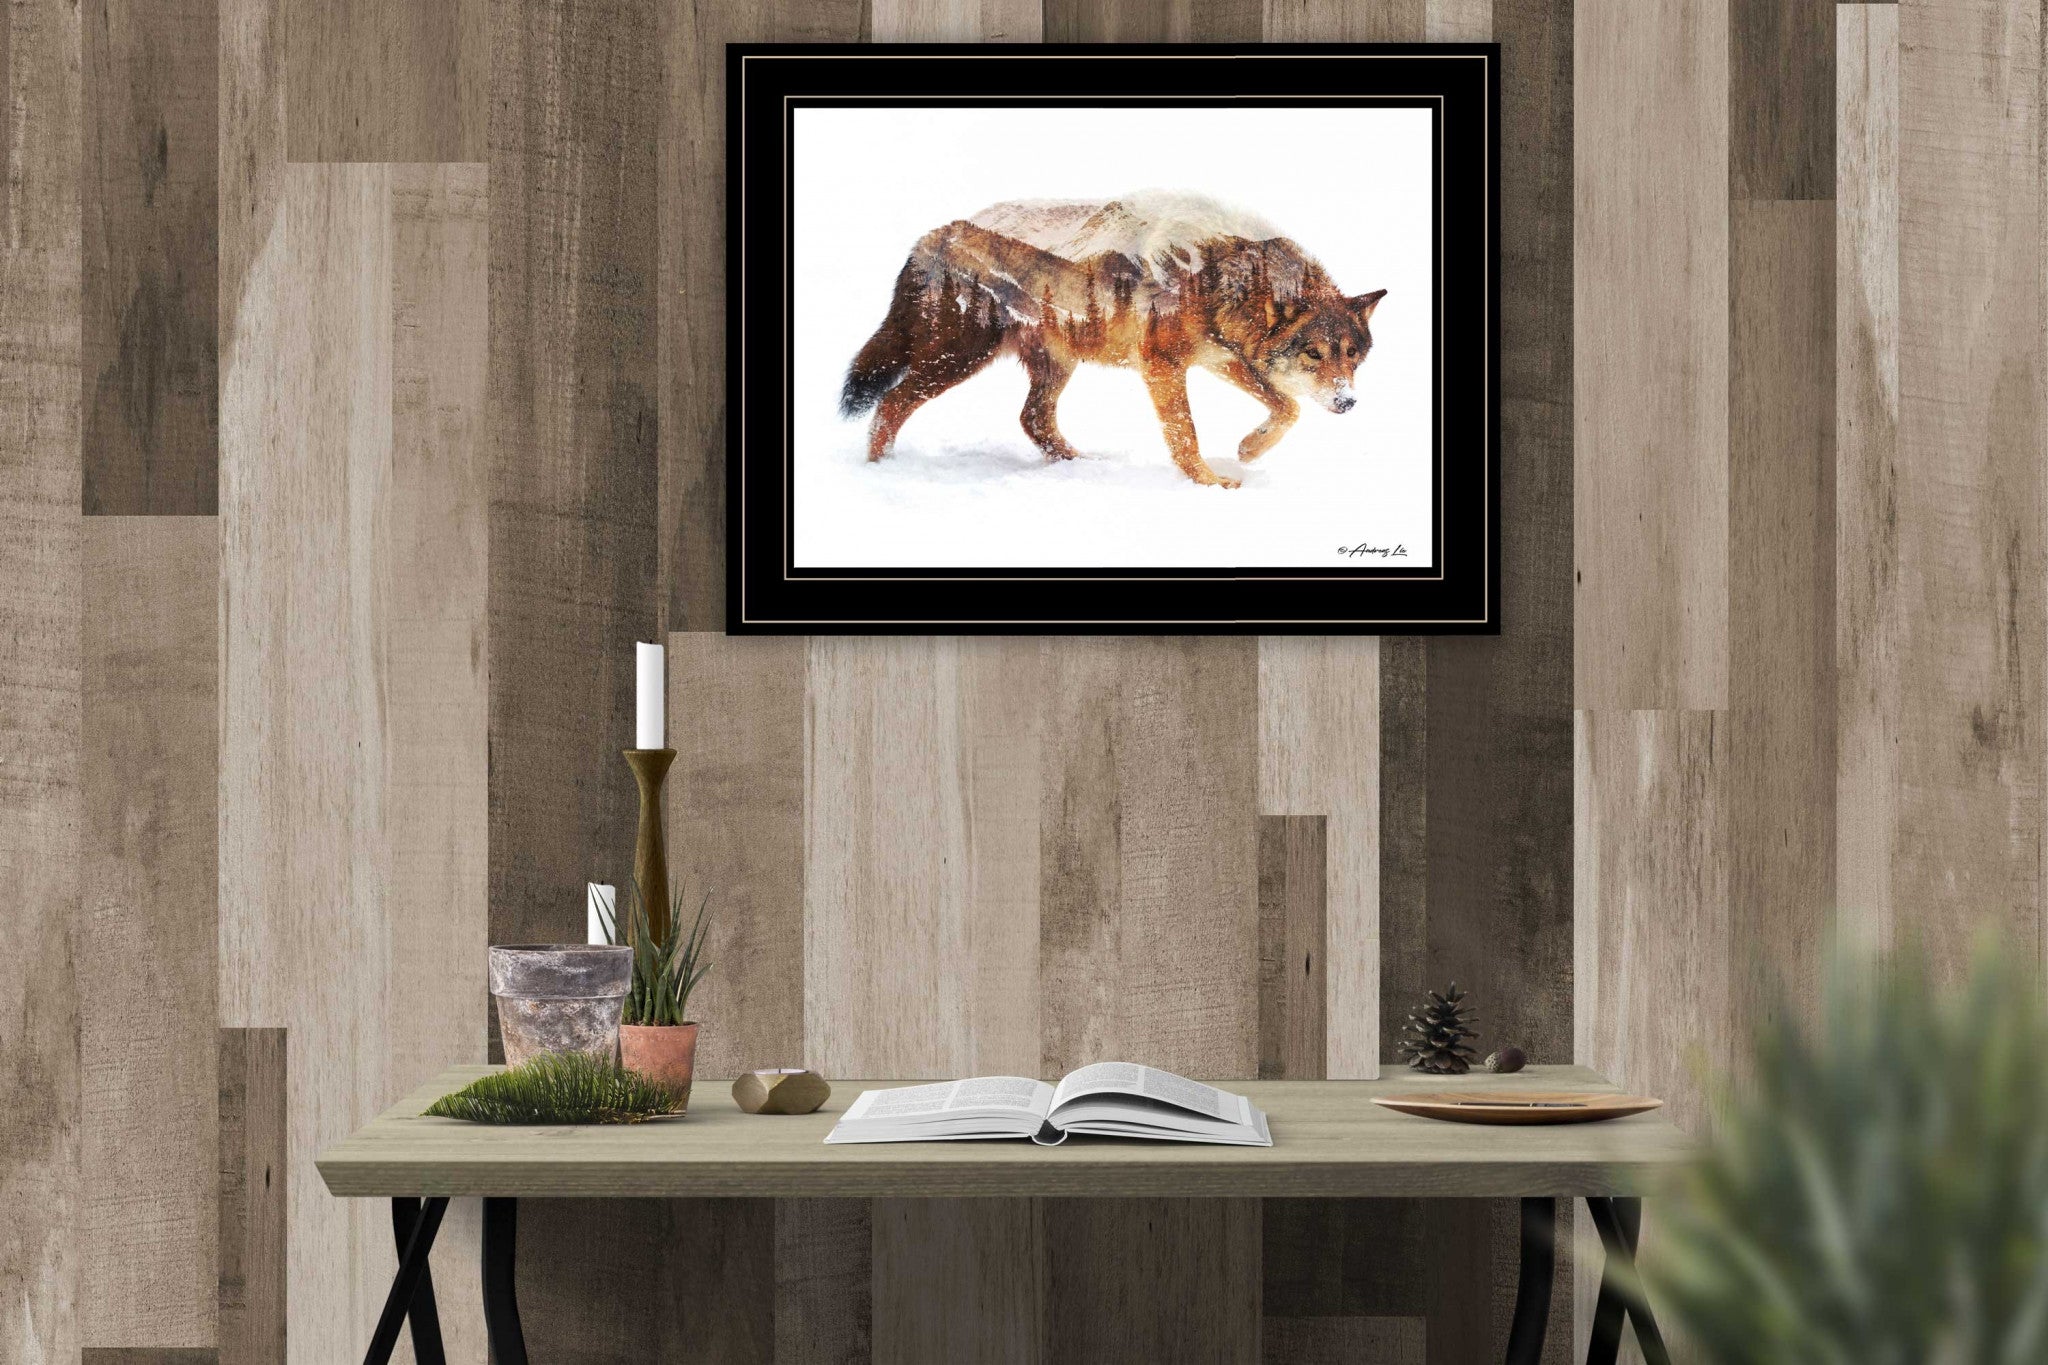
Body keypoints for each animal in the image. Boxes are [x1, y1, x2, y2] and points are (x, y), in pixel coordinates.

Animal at [840, 190, 1386, 489]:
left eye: (1352, 357)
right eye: (1313, 354)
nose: (1348, 402)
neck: (1218, 272)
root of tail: (929, 238)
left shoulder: (1220, 358)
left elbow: (1287, 408)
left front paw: (1250, 450)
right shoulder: (1162, 364)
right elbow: (1185, 435)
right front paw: (1210, 483)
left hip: (1055, 364)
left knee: (1032, 418)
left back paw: (1082, 465)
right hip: (957, 360)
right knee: (890, 403)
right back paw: (881, 471)